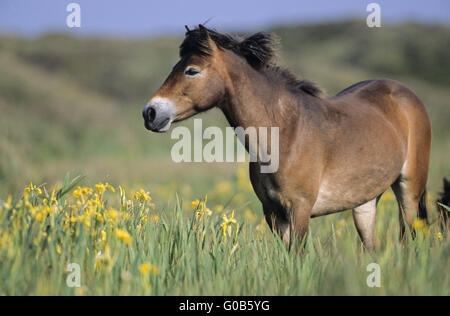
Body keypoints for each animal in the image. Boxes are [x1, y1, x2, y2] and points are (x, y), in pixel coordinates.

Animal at [142, 25, 430, 251]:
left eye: (192, 71)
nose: (150, 112)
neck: (285, 133)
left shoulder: (300, 209)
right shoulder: (274, 213)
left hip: (409, 190)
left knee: (408, 238)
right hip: (365, 204)